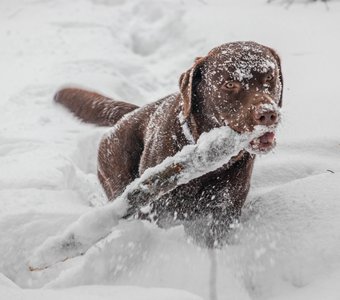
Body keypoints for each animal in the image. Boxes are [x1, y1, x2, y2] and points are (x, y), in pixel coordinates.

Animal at [55, 41, 282, 246]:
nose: (268, 114)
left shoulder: (225, 211)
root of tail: (129, 114)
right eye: (229, 84)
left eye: (270, 78)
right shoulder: (159, 210)